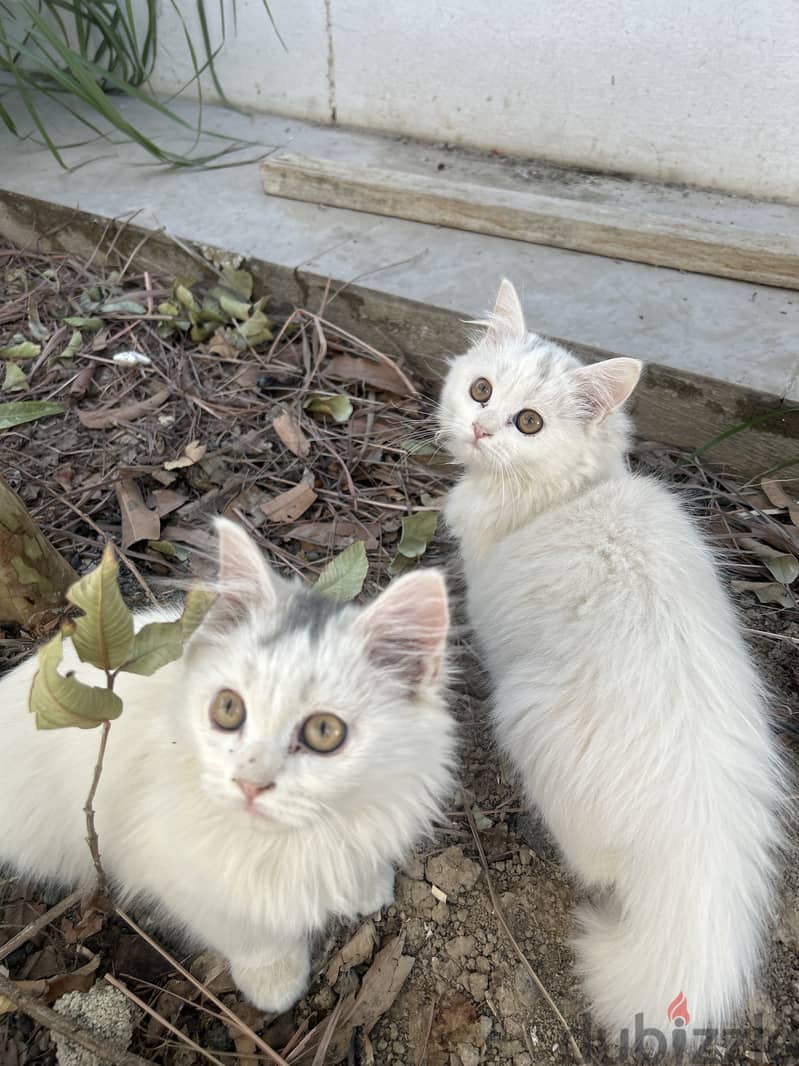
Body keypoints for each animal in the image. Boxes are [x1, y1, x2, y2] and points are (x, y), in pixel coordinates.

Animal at [0, 524, 455, 1014]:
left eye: (324, 732)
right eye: (228, 708)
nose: (250, 784)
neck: (298, 840)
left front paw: (367, 888)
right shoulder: (181, 877)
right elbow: (249, 935)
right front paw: (275, 984)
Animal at [441, 281, 784, 1048]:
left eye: (528, 423)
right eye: (480, 390)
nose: (481, 430)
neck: (571, 492)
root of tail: (698, 833)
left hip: (523, 710)